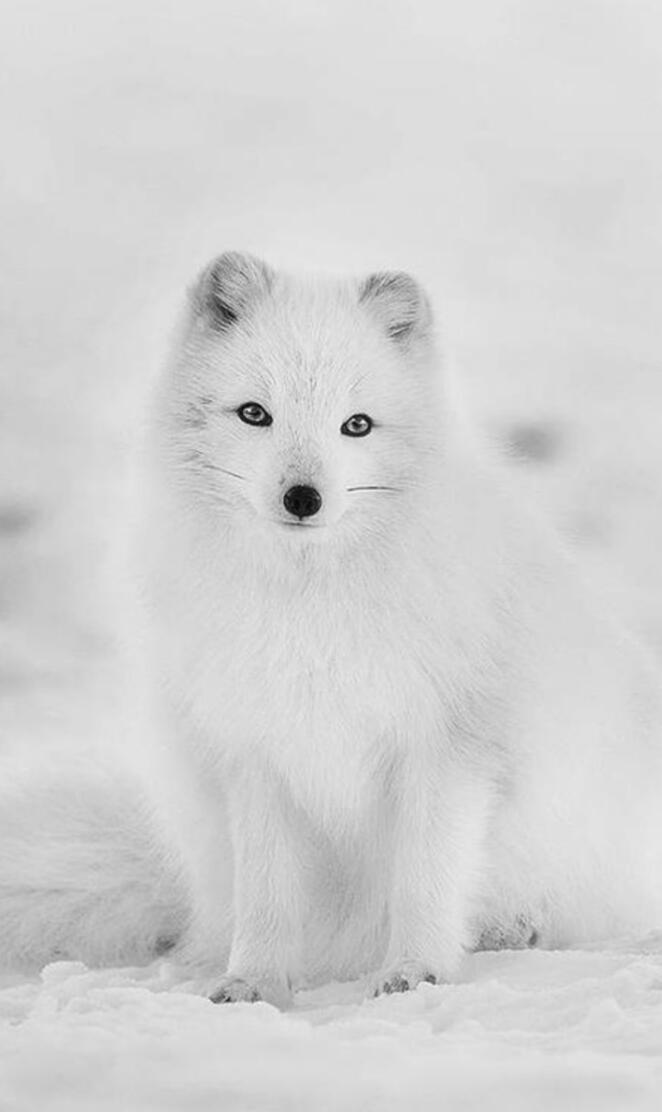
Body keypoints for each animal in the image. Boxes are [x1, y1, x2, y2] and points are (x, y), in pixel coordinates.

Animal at [1, 252, 662, 1006]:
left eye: (357, 425)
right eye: (254, 413)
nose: (303, 497)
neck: (311, 608)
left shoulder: (445, 748)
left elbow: (426, 880)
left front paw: (416, 972)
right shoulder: (256, 752)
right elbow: (266, 894)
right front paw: (254, 982)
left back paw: (510, 929)